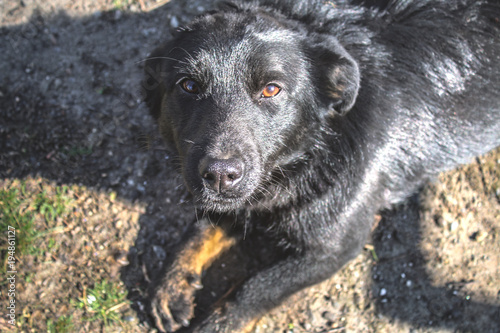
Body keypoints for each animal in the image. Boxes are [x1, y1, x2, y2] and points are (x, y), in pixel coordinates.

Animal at [141, 1, 500, 330]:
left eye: (271, 89)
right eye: (189, 85)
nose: (219, 175)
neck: (311, 153)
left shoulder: (336, 247)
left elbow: (255, 288)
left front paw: (216, 322)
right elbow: (200, 228)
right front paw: (172, 282)